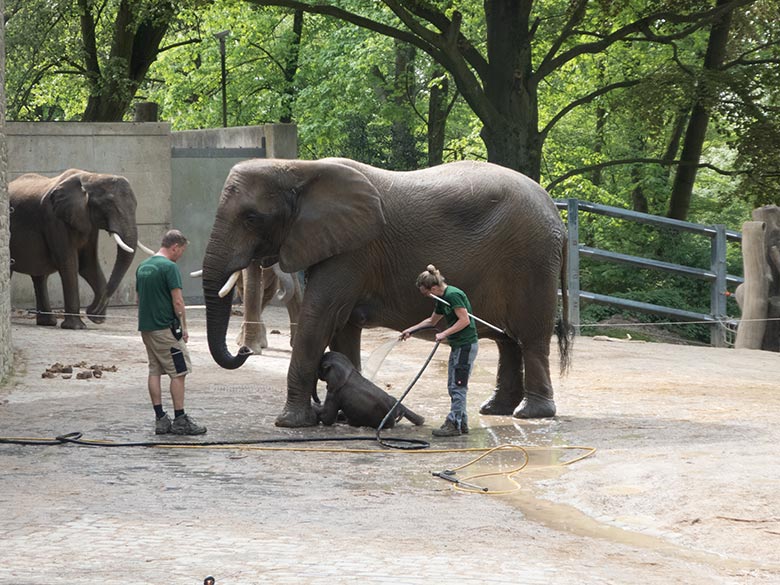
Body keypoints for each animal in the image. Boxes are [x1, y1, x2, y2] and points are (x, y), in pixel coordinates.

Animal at [9, 169, 143, 328]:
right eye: (109, 204)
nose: (91, 310)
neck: (91, 176)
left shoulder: (89, 223)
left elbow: (88, 264)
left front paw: (96, 319)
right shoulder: (54, 219)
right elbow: (69, 264)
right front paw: (76, 327)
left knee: (40, 276)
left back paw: (48, 323)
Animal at [203, 157, 572, 426]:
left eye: (252, 217)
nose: (244, 351)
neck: (297, 167)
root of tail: (558, 217)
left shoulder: (354, 251)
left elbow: (319, 317)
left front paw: (290, 423)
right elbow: (342, 326)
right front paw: (340, 414)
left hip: (533, 260)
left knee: (530, 337)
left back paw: (530, 413)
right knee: (508, 340)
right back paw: (495, 409)